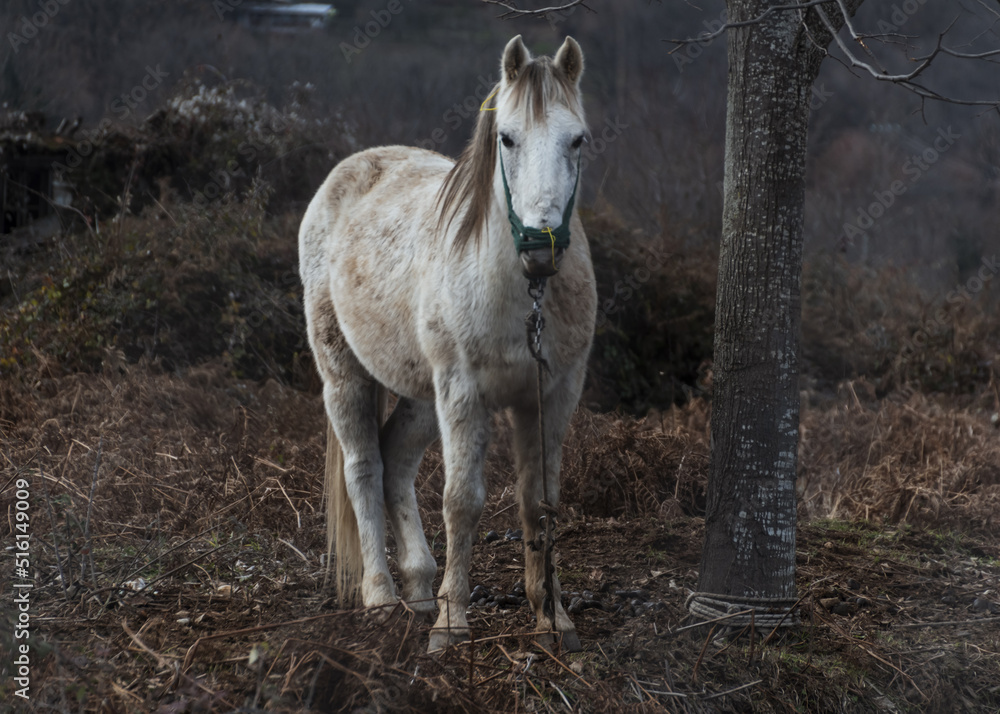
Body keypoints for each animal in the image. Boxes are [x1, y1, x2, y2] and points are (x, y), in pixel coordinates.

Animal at [298, 35, 597, 653]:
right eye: (507, 137)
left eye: (577, 139)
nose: (540, 248)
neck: (524, 294)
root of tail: (350, 171)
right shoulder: (464, 394)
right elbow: (463, 502)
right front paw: (451, 625)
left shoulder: (551, 397)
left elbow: (541, 501)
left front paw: (552, 617)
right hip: (346, 377)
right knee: (364, 469)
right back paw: (382, 598)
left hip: (421, 396)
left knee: (394, 462)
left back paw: (418, 587)